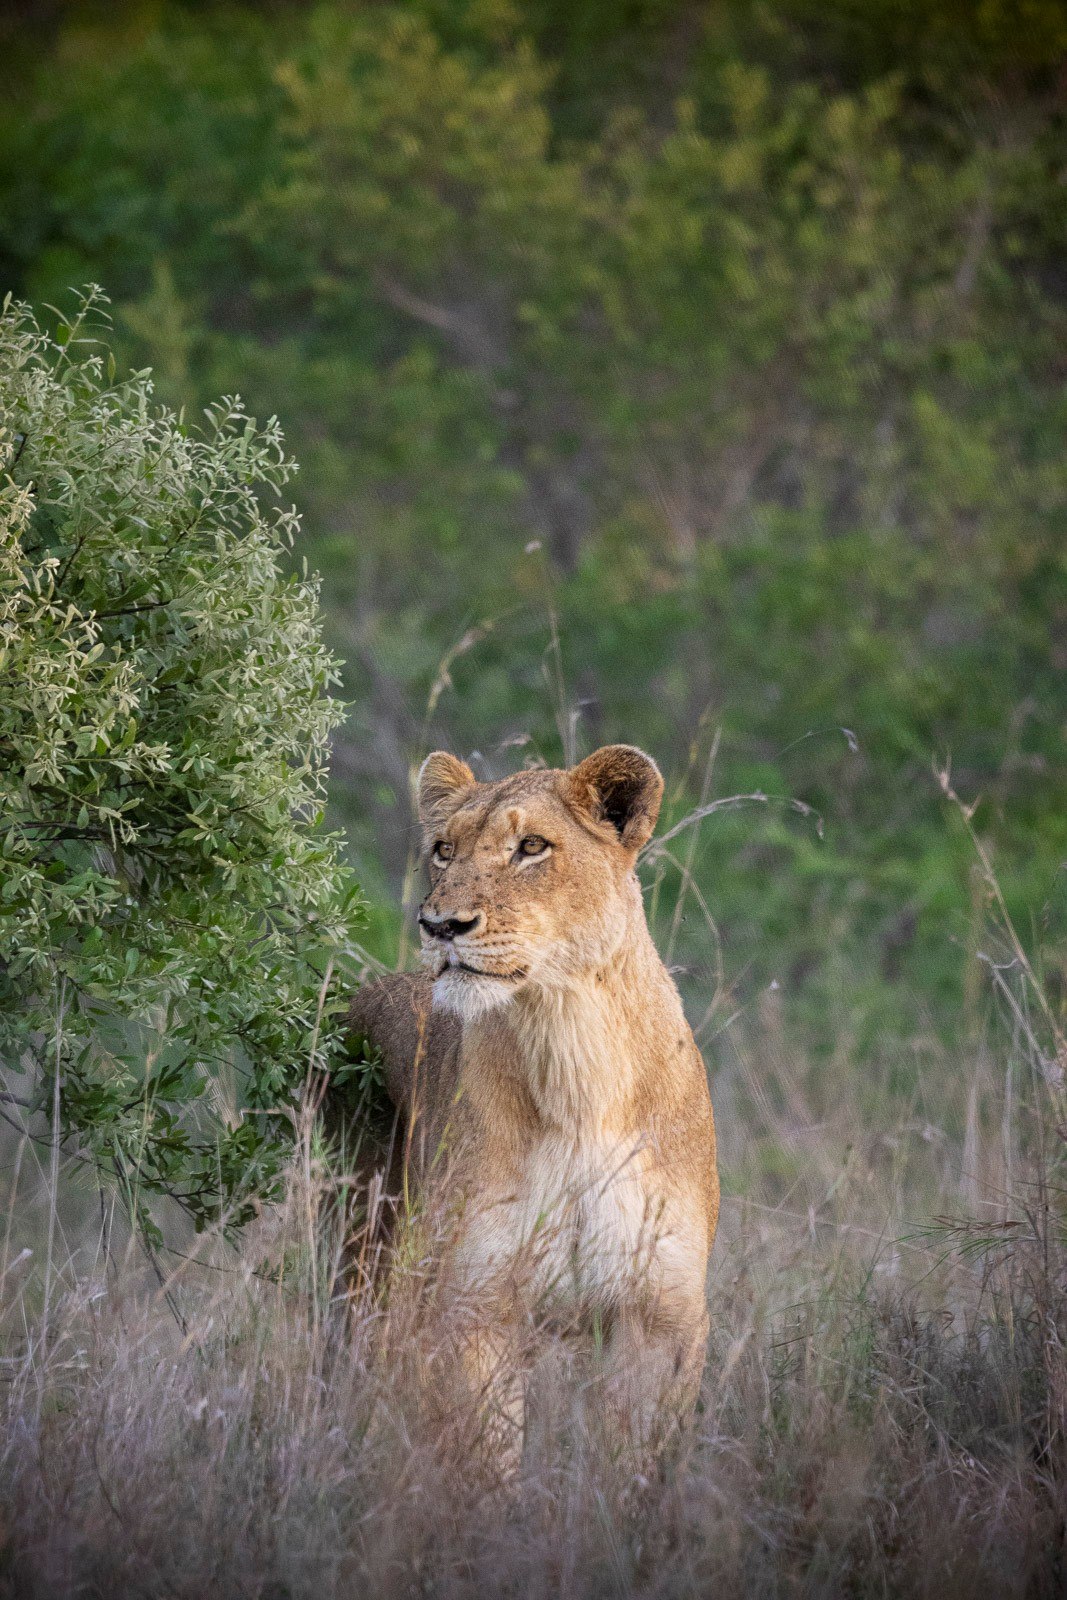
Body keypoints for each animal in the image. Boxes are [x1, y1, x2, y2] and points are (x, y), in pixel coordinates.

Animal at [348, 744, 718, 1462]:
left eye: (531, 847)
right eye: (443, 850)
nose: (440, 926)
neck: (575, 1066)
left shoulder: (662, 1314)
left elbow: (628, 1462)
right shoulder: (475, 1302)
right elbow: (490, 1460)